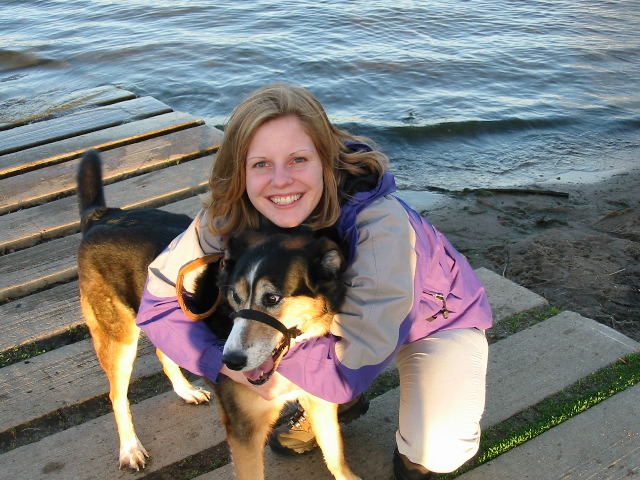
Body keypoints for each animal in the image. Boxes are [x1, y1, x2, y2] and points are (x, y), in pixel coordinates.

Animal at [75, 151, 360, 480]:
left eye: (272, 298)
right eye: (233, 296)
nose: (230, 361)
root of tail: (103, 215)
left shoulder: (320, 403)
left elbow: (336, 458)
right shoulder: (245, 433)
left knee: (163, 350)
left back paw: (185, 390)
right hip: (118, 339)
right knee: (117, 395)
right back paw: (130, 448)